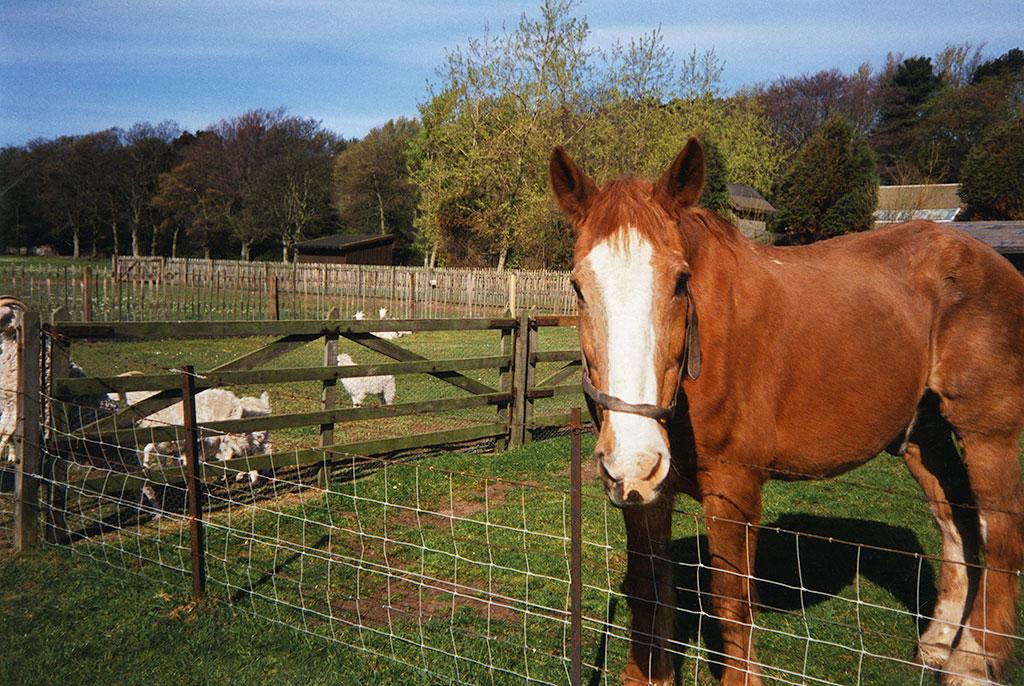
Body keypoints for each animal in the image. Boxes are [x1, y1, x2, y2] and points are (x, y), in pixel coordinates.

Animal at [552, 141, 1024, 686]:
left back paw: (971, 663)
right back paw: (939, 643)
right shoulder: (647, 492)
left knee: (1001, 534)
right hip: (921, 434)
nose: (632, 457)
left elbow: (731, 603)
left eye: (680, 282)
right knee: (957, 522)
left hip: (987, 431)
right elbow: (649, 590)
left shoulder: (732, 487)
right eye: (578, 287)